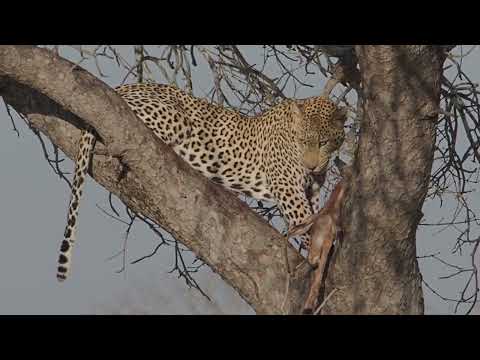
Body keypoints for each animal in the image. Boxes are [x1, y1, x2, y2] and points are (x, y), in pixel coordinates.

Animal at [57, 82, 344, 282]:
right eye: (303, 141)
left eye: (324, 142)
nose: (312, 165)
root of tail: (121, 86)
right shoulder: (289, 189)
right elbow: (306, 223)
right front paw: (322, 250)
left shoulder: (311, 191)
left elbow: (317, 217)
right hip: (175, 118)